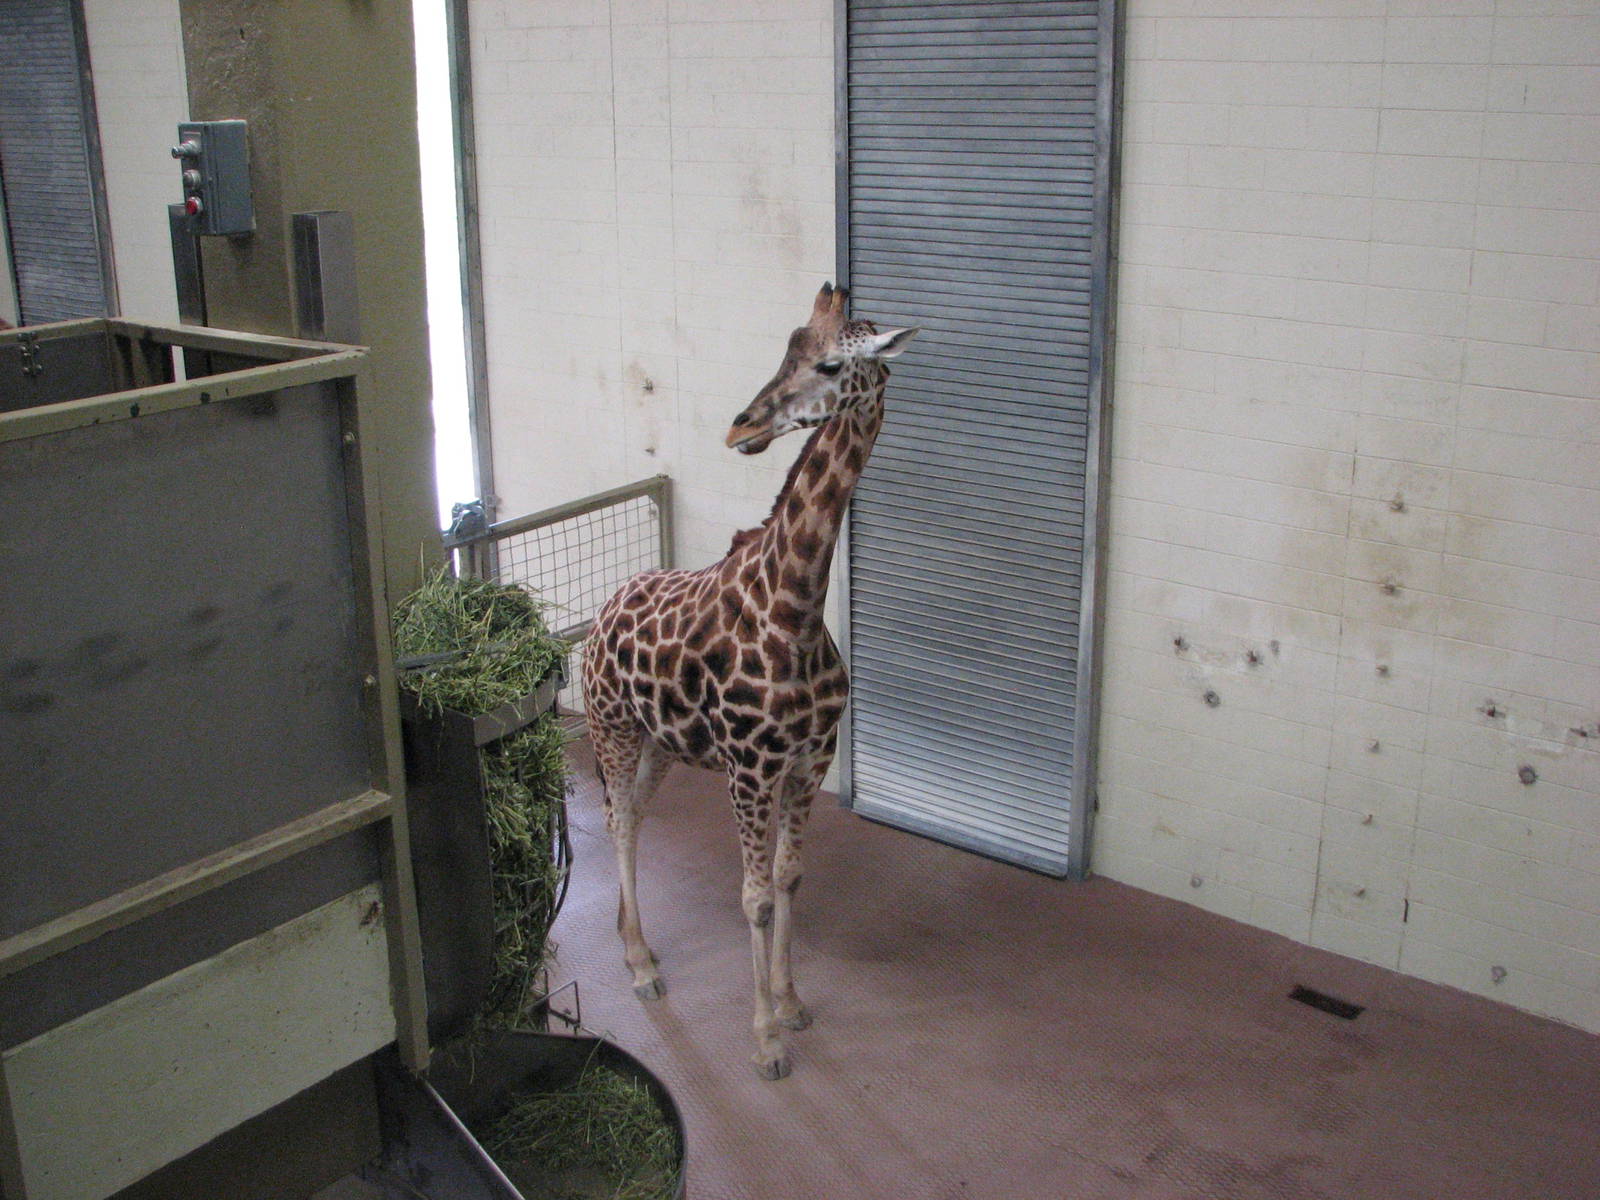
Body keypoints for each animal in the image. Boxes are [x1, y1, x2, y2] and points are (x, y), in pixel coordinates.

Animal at [582, 282, 917, 1078]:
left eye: (829, 364)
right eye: (783, 351)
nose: (742, 429)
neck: (794, 609)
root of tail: (600, 614)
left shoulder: (809, 762)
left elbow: (790, 879)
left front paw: (791, 1004)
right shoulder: (749, 771)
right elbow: (756, 899)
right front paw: (764, 1038)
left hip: (658, 745)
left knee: (628, 817)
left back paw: (629, 936)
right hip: (612, 727)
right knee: (617, 822)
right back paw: (640, 964)